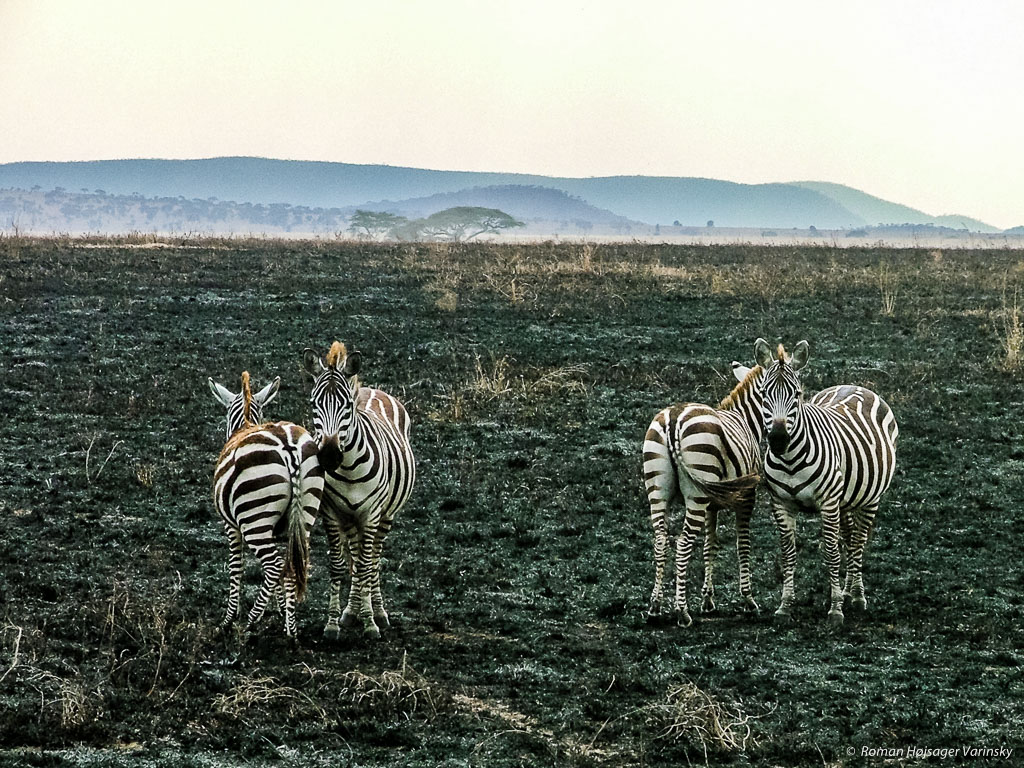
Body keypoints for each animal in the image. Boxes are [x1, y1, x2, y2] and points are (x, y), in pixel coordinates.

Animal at [205, 370, 321, 638]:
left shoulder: (231, 526)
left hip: (254, 519)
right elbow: (285, 572)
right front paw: (283, 612)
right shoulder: (280, 529)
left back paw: (250, 622)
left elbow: (235, 566)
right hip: (305, 512)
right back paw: (292, 633)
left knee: (274, 566)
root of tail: (288, 447)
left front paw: (229, 619)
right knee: (290, 565)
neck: (245, 425)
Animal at [301, 342, 413, 638]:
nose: (329, 456)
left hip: (385, 515)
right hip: (350, 517)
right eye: (314, 404)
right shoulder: (330, 513)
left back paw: (378, 611)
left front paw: (371, 623)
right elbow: (339, 565)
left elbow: (364, 564)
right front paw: (332, 623)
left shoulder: (371, 514)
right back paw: (351, 612)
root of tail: (368, 389)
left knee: (372, 558)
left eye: (347, 406)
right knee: (355, 554)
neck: (349, 468)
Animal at [638, 360, 770, 626]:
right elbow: (743, 544)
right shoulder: (746, 498)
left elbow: (711, 545)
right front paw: (748, 600)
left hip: (658, 490)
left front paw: (708, 600)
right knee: (682, 543)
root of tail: (673, 418)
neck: (745, 420)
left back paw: (655, 606)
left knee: (660, 541)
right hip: (696, 491)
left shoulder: (711, 504)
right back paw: (682, 611)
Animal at [753, 339, 897, 626]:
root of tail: (853, 385)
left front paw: (836, 609)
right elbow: (788, 553)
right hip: (847, 500)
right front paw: (785, 606)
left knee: (857, 542)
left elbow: (831, 552)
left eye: (796, 394)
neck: (789, 461)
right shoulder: (781, 503)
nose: (778, 439)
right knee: (850, 538)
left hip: (870, 498)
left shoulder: (829, 503)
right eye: (763, 394)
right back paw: (847, 590)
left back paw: (857, 596)